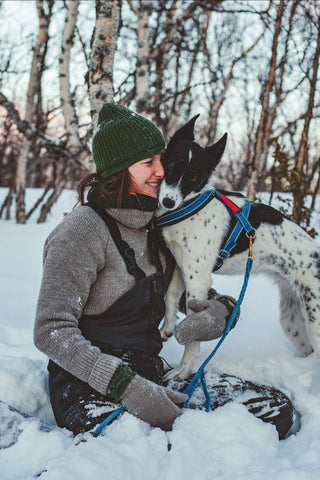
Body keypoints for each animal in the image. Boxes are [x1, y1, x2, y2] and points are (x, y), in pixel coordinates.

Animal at [157, 115, 320, 378]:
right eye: (170, 167)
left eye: (194, 177)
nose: (168, 201)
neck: (190, 206)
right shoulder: (184, 267)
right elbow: (170, 297)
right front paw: (167, 327)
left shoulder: (198, 279)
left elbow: (193, 334)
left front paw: (183, 370)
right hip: (292, 321)